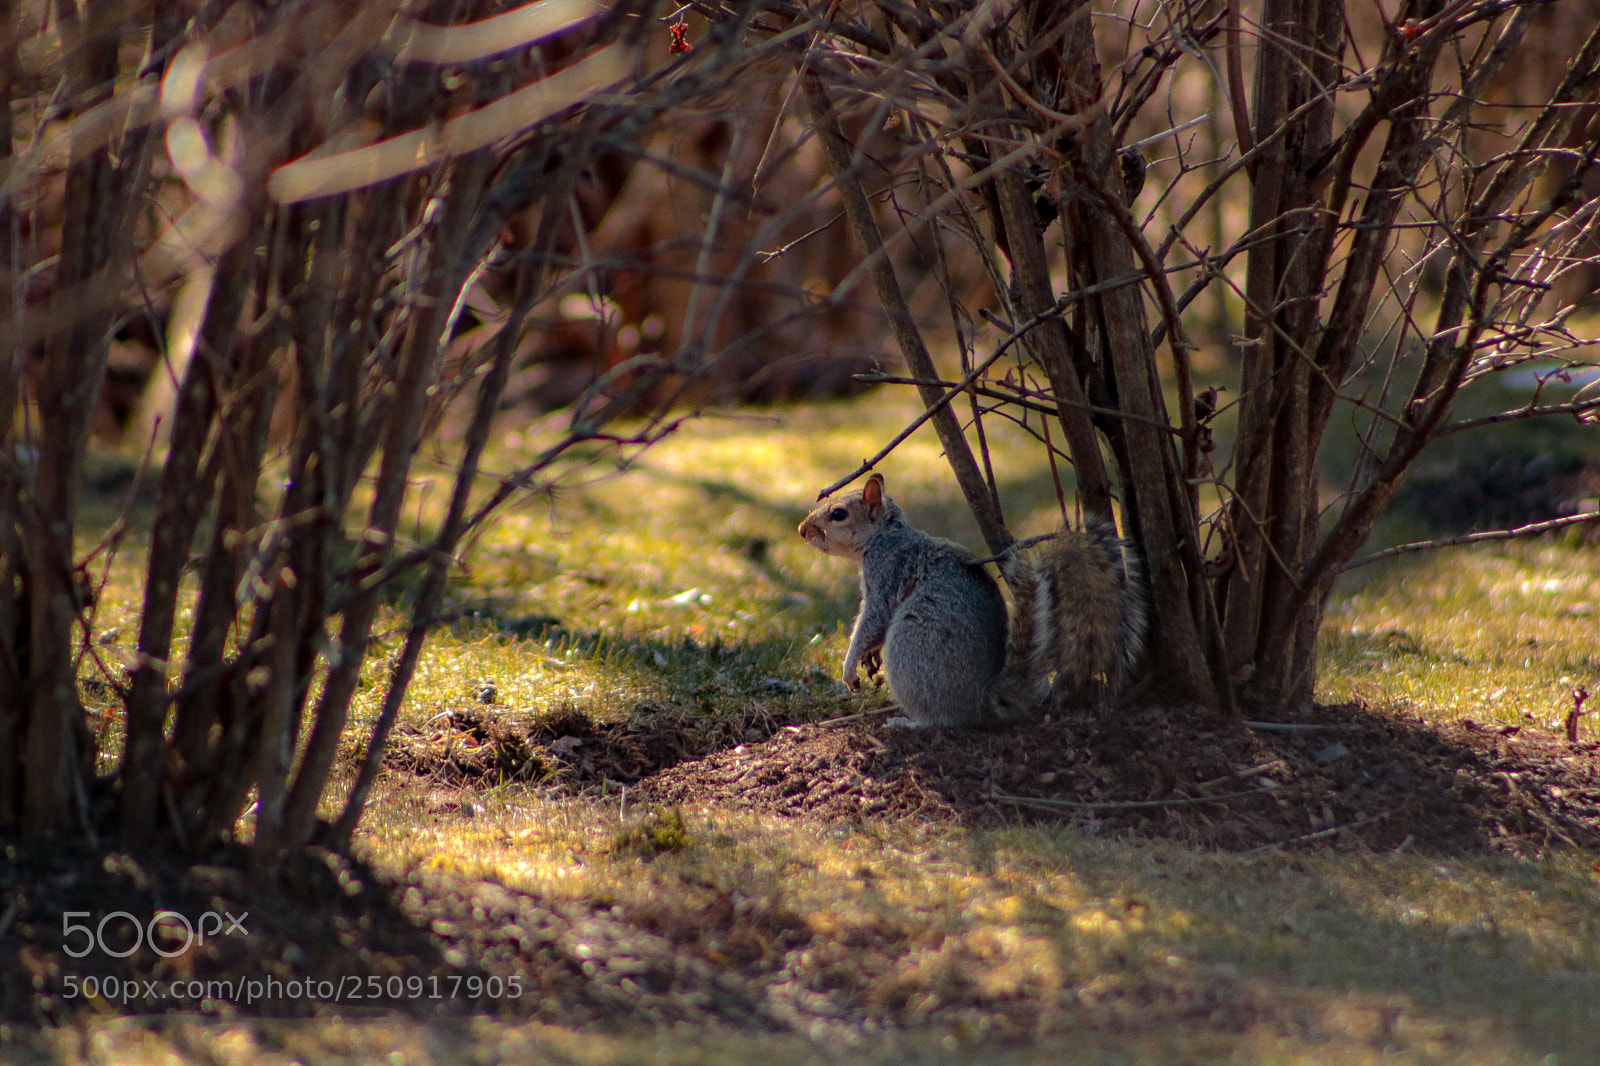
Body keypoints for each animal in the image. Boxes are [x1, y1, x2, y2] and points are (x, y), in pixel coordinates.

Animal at [798, 473, 1147, 728]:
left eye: (838, 514)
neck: (885, 536)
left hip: (910, 650)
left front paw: (849, 666)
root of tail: (982, 699)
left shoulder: (886, 573)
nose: (802, 530)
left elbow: (872, 620)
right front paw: (868, 659)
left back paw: (910, 723)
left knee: (944, 720)